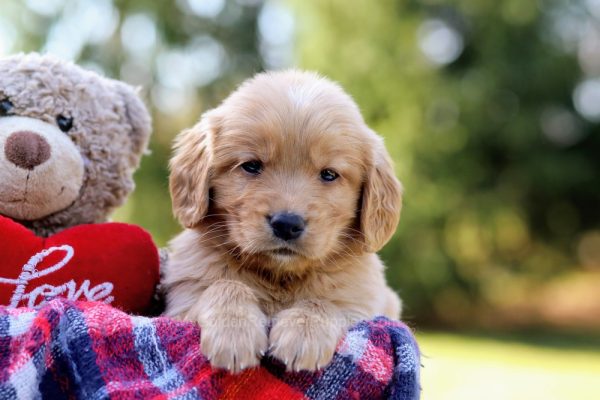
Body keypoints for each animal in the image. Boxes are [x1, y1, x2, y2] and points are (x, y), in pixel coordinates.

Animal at [163, 70, 404, 374]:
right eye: (251, 166)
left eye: (329, 174)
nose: (287, 224)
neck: (281, 276)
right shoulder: (184, 296)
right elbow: (224, 285)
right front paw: (234, 331)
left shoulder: (367, 304)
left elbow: (326, 302)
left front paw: (304, 332)